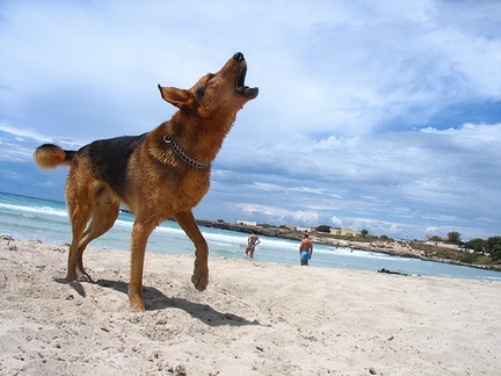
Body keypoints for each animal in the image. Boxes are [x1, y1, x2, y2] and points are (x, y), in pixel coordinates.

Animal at [33, 53, 258, 312]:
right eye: (210, 78)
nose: (239, 54)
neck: (187, 153)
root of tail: (78, 151)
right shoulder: (142, 225)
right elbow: (137, 271)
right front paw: (137, 304)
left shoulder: (182, 211)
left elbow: (203, 243)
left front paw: (200, 277)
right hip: (82, 210)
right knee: (73, 243)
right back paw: (72, 279)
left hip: (106, 218)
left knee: (80, 242)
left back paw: (83, 274)